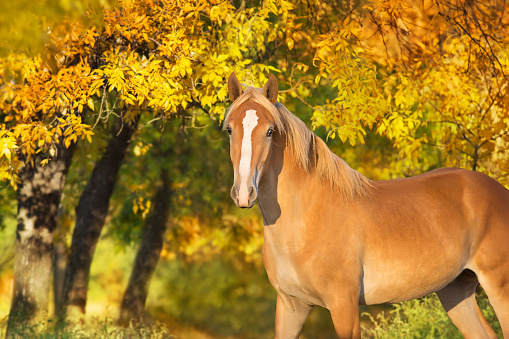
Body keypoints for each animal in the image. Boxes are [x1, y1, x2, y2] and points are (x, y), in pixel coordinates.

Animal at [224, 71, 508, 338]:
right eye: (229, 129)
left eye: (270, 131)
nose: (244, 193)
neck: (304, 220)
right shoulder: (292, 306)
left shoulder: (344, 305)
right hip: (455, 291)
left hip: (499, 287)